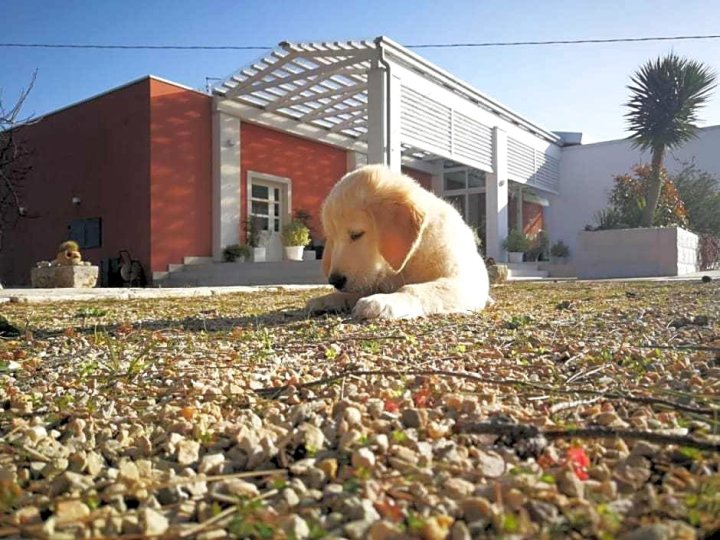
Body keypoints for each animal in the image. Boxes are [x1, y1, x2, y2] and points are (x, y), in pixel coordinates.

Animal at [306, 165, 492, 316]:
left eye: (356, 234)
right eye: (332, 239)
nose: (335, 281)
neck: (409, 259)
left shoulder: (464, 281)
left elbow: (416, 289)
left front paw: (383, 301)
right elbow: (355, 291)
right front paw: (328, 298)